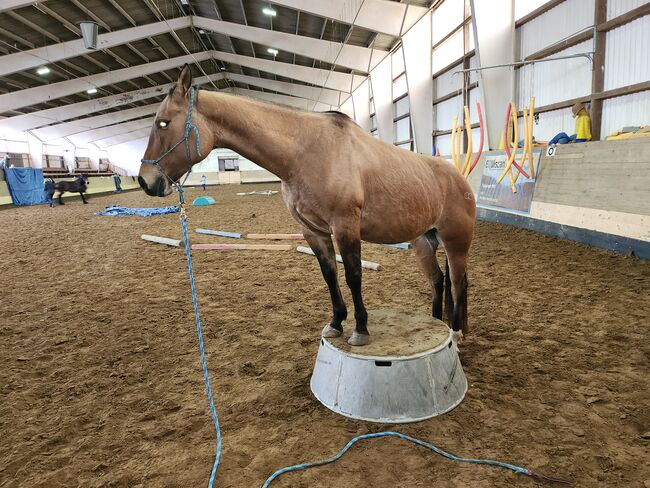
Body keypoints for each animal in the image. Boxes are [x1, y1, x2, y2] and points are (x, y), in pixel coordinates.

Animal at [139, 66, 474, 346]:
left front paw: (360, 330)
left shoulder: (345, 226)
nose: (145, 181)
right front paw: (336, 323)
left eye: (163, 123)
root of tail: (459, 177)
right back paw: (437, 324)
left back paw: (457, 333)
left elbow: (353, 275)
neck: (307, 152)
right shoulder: (313, 231)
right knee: (438, 281)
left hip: (455, 243)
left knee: (458, 283)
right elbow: (330, 275)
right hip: (423, 242)